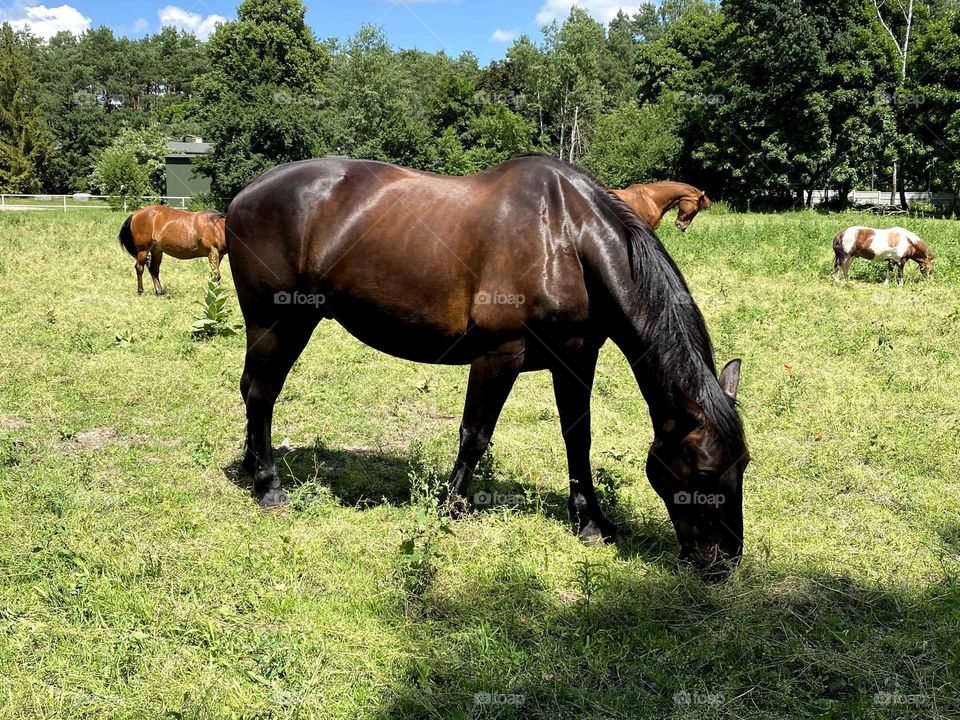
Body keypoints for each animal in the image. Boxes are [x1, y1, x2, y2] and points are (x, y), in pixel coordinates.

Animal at [226, 155, 750, 580]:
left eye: (743, 464)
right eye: (703, 472)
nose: (723, 562)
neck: (567, 238)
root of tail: (244, 194)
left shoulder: (577, 357)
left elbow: (577, 438)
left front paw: (591, 522)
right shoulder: (499, 355)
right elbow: (475, 435)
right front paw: (449, 509)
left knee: (250, 388)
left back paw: (251, 468)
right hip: (280, 321)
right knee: (262, 394)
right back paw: (269, 487)